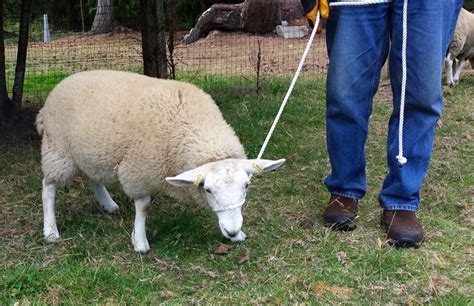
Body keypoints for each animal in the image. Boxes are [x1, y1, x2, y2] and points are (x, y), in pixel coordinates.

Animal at [37, 70, 286, 253]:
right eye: (208, 189)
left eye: (247, 186)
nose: (232, 231)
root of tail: (65, 81)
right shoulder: (139, 171)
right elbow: (143, 206)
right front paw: (140, 241)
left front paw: (238, 235)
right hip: (58, 150)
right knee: (48, 187)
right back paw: (51, 231)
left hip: (90, 152)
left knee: (92, 178)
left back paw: (108, 204)